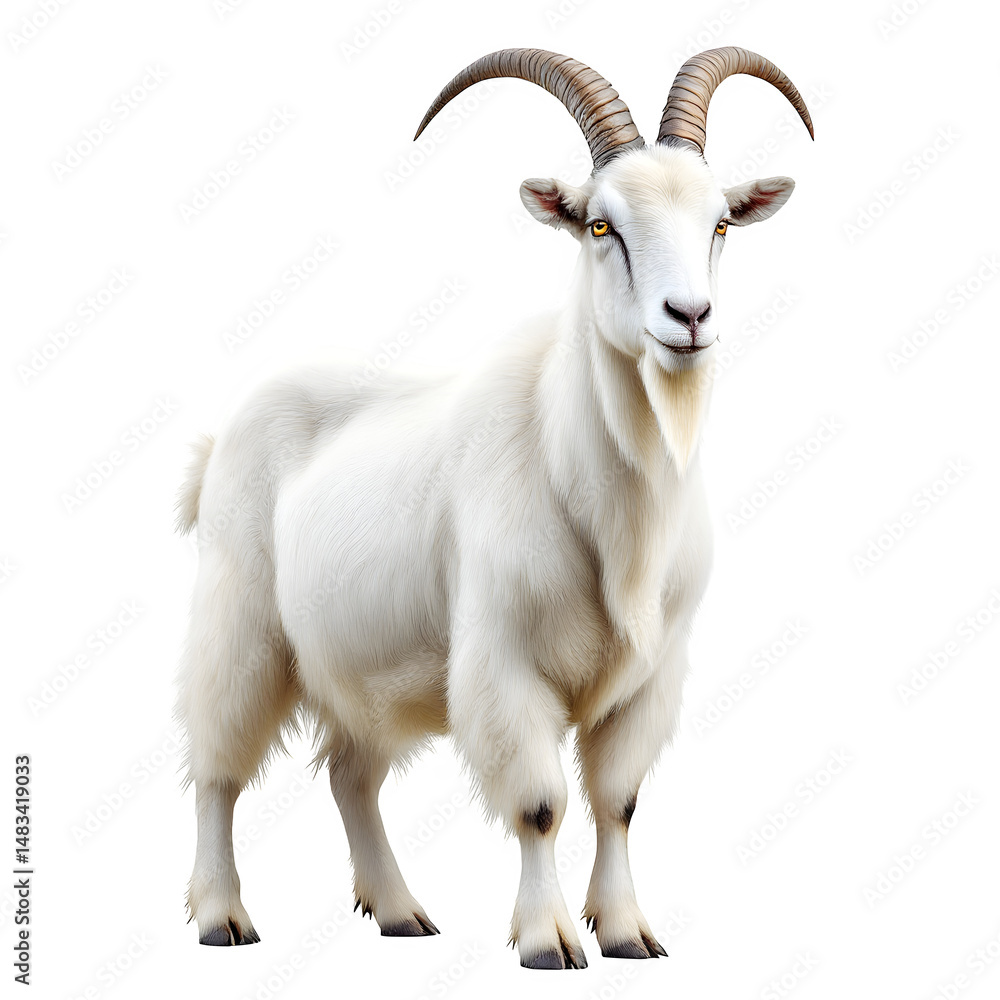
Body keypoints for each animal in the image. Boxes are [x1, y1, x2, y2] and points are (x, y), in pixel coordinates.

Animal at [177, 46, 813, 968]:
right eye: (601, 226)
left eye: (721, 223)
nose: (689, 317)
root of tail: (217, 444)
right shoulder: (504, 659)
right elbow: (541, 805)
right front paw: (548, 940)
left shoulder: (651, 677)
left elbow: (618, 801)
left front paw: (626, 932)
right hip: (241, 623)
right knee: (217, 764)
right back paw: (222, 918)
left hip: (364, 662)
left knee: (350, 775)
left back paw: (400, 912)